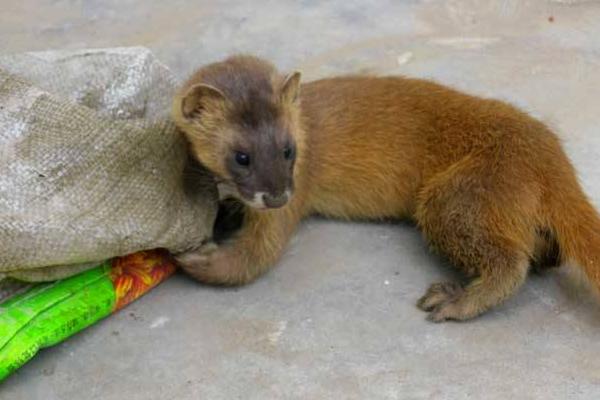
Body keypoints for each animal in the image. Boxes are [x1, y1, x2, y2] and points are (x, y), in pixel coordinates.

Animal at [172, 55, 600, 322]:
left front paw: (197, 258)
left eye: (288, 149)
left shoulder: (296, 190)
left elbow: (254, 257)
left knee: (511, 262)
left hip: (453, 197)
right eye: (240, 156)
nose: (276, 195)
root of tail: (549, 153)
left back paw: (454, 300)